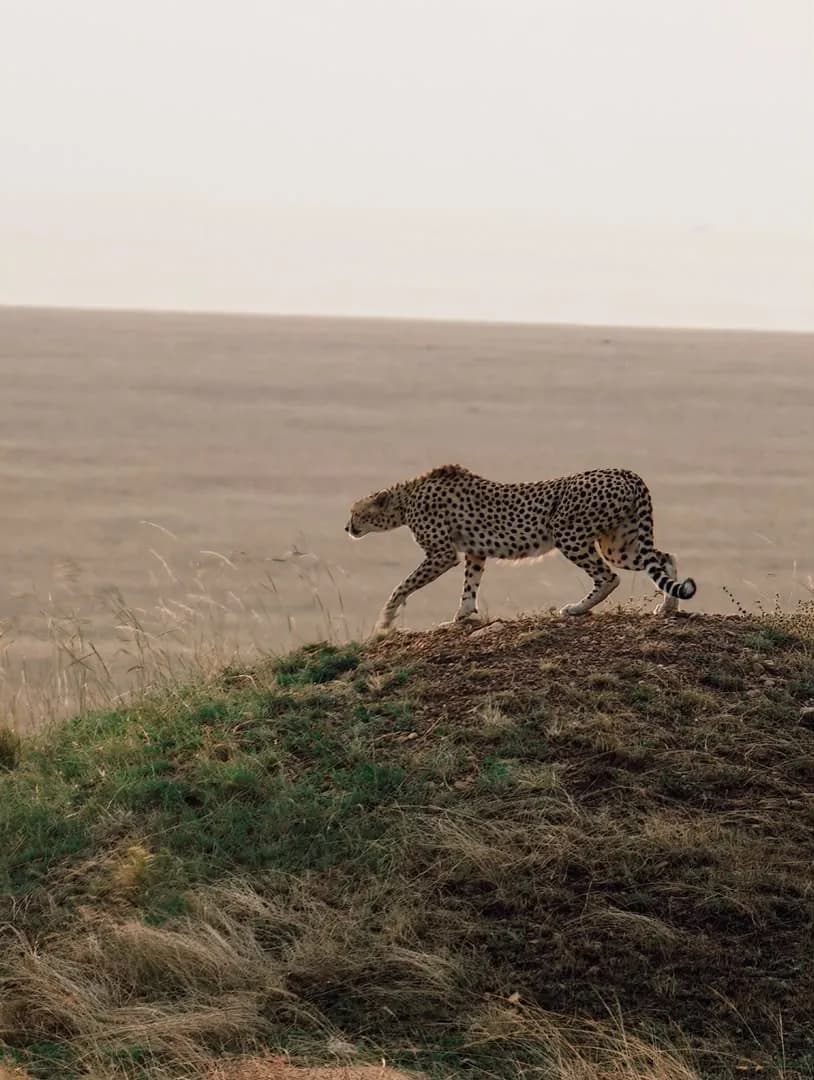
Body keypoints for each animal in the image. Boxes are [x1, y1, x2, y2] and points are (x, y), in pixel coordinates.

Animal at [345, 464, 696, 633]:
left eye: (355, 512)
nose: (347, 528)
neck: (405, 499)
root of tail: (626, 471)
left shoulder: (442, 555)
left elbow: (402, 586)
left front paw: (386, 620)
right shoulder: (474, 551)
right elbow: (470, 585)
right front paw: (461, 615)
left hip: (569, 533)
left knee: (609, 577)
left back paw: (576, 609)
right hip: (619, 544)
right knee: (665, 557)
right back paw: (668, 607)